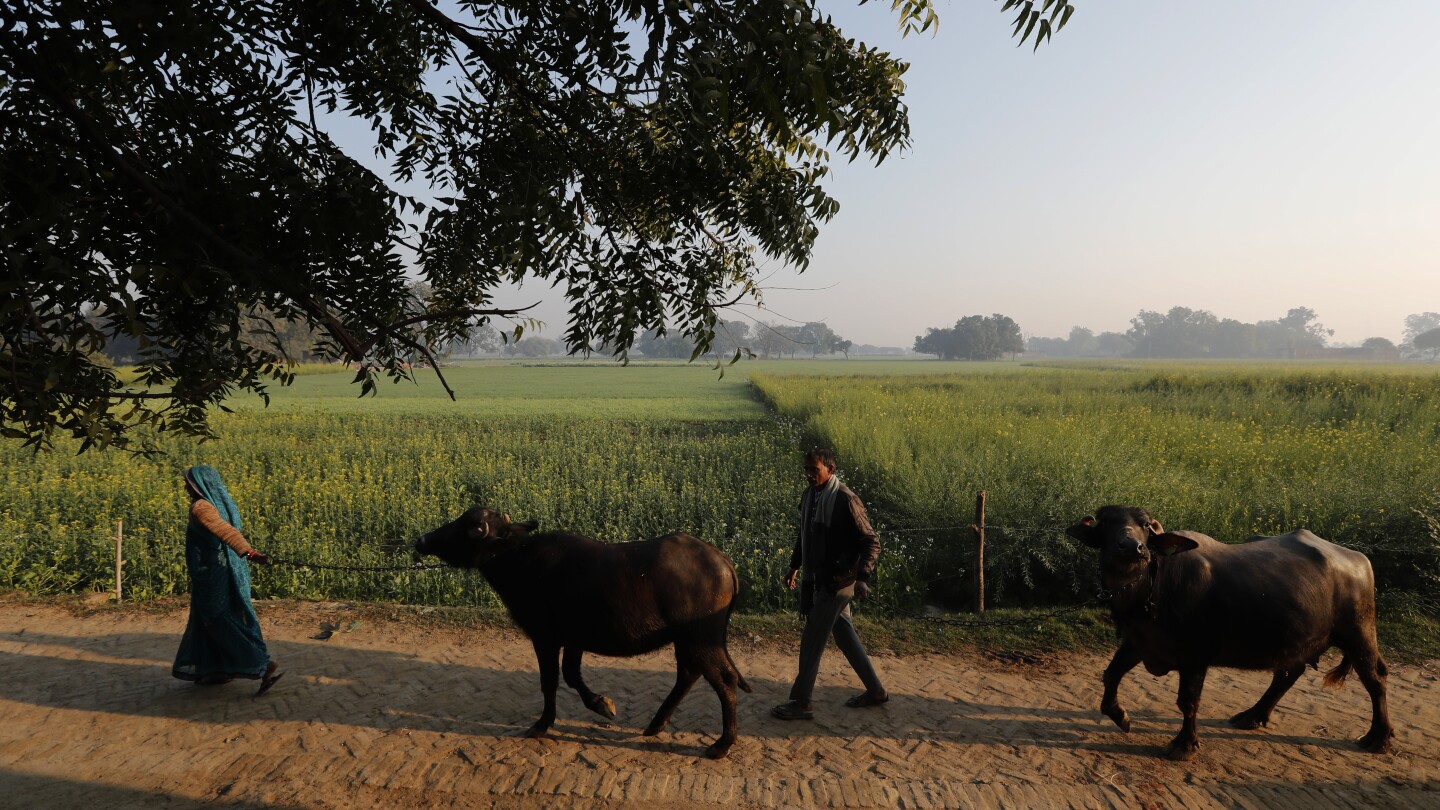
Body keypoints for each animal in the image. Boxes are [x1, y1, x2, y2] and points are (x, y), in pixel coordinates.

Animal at [417, 504, 754, 755]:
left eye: (466, 527)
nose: (422, 539)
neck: (518, 558)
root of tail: (721, 560)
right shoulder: (574, 638)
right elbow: (571, 675)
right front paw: (603, 705)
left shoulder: (545, 637)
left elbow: (550, 680)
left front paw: (542, 724)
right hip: (686, 640)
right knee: (688, 674)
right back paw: (656, 724)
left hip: (702, 638)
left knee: (723, 679)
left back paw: (722, 745)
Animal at [1065, 504, 1388, 755]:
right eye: (1107, 524)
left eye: (1144, 525)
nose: (1133, 547)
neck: (1152, 589)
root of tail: (1360, 560)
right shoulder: (1140, 641)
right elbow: (1111, 674)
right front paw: (1121, 716)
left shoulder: (1196, 655)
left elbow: (1188, 701)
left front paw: (1184, 745)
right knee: (1288, 674)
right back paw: (1253, 715)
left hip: (1359, 633)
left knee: (1376, 681)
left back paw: (1378, 738)